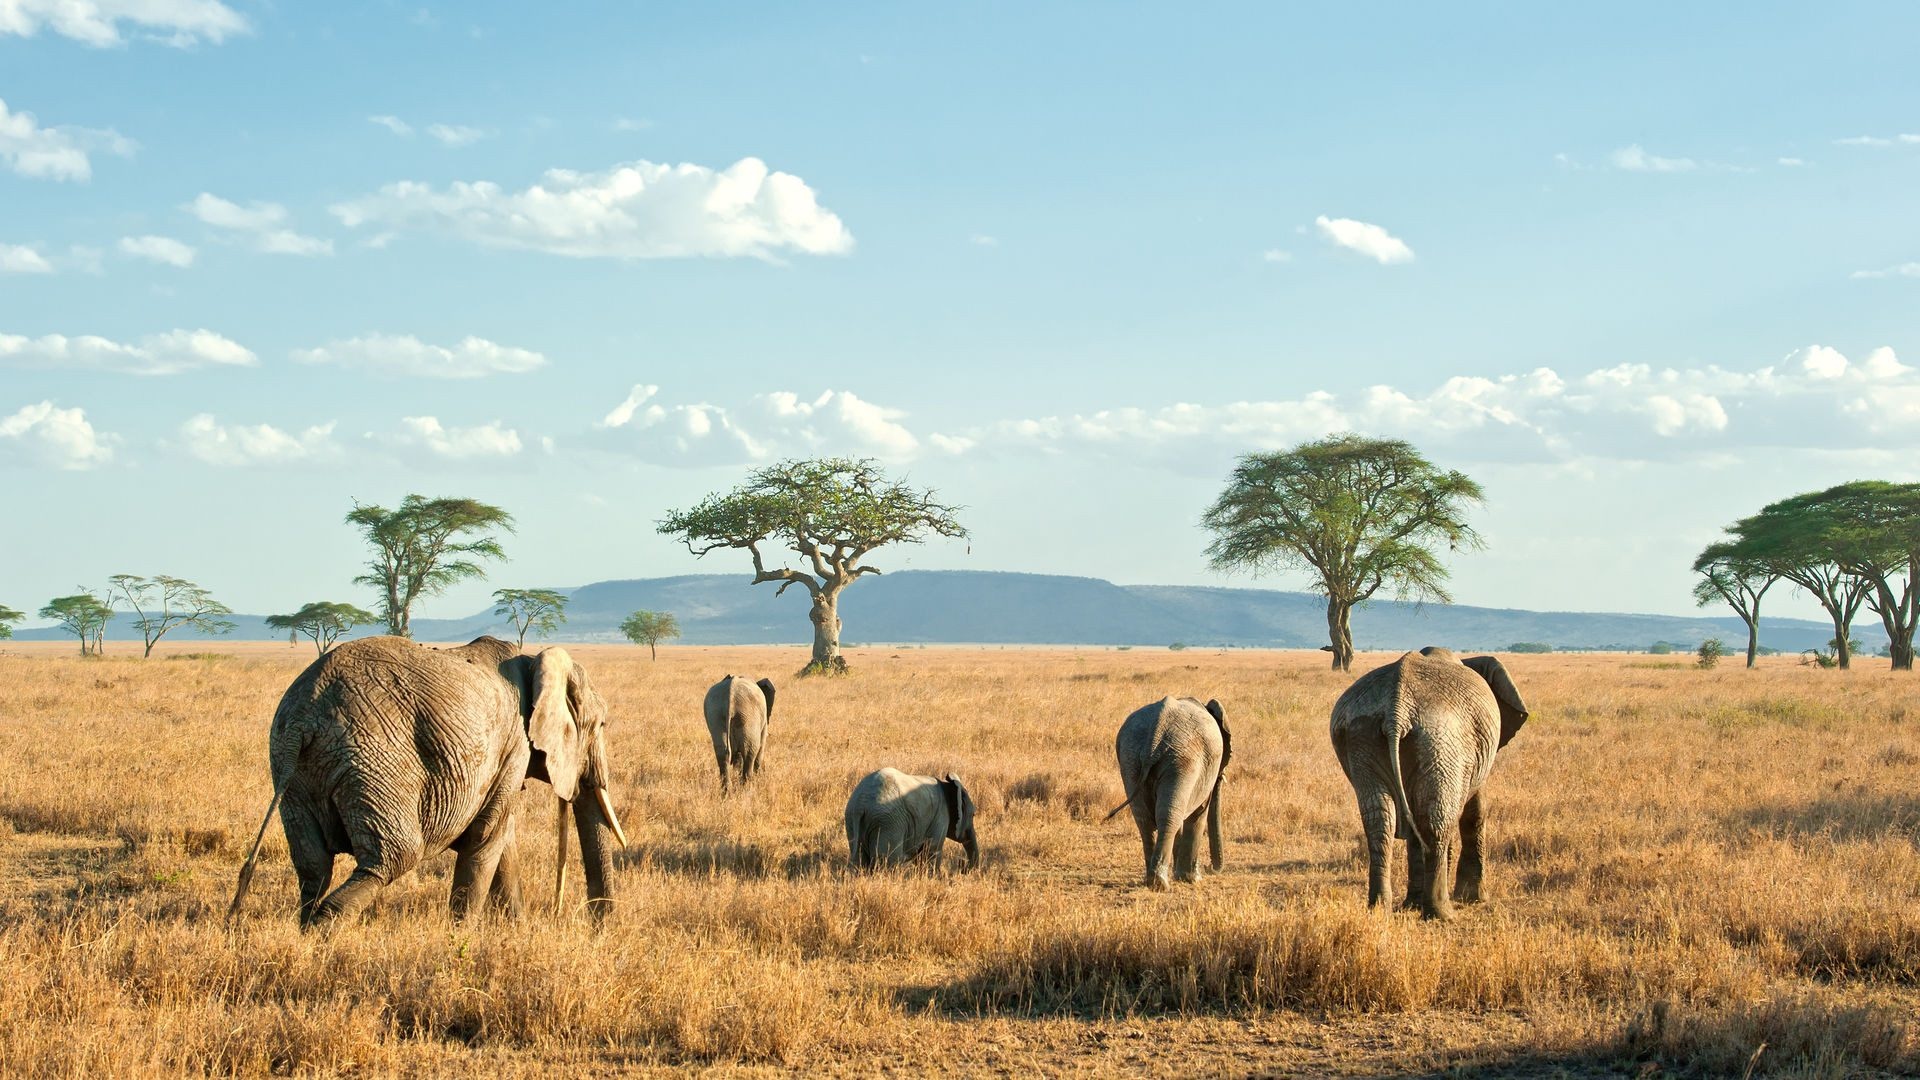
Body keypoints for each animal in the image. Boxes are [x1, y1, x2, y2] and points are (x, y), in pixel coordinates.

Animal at [226, 634, 629, 930]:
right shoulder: (514, 744)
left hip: (291, 769)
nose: (599, 926)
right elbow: (487, 838)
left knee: (313, 865)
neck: (534, 661)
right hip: (374, 760)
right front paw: (461, 936)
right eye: (601, 724)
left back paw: (305, 931)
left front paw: (516, 931)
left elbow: (501, 839)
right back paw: (323, 934)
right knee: (393, 856)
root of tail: (303, 718)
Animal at [844, 760, 975, 868]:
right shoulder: (940, 816)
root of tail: (861, 803)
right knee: (888, 860)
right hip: (888, 822)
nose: (963, 866)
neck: (948, 785)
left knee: (860, 858)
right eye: (973, 815)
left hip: (852, 819)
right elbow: (931, 849)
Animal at [1105, 691, 1236, 887]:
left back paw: (1151, 881)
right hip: (1182, 760)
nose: (1209, 868)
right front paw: (1192, 879)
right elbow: (1198, 814)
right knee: (1169, 816)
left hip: (1131, 757)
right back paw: (1160, 884)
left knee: (1145, 819)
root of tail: (1156, 733)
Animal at [1336, 641, 1528, 922]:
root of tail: (1396, 710)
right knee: (1436, 821)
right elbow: (1474, 811)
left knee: (1380, 820)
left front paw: (1412, 904)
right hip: (1440, 739)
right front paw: (1473, 899)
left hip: (1363, 735)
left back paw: (1379, 910)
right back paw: (1442, 914)